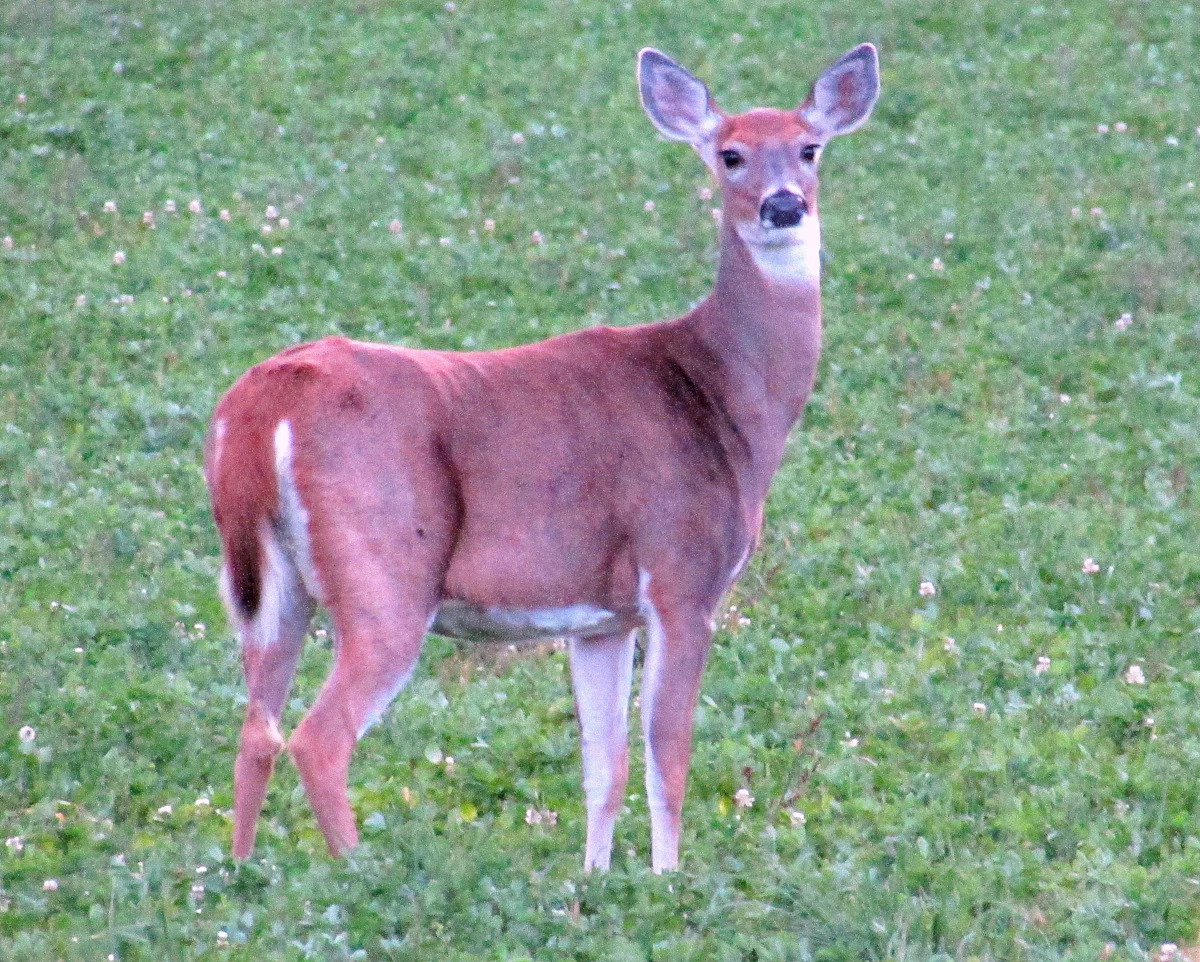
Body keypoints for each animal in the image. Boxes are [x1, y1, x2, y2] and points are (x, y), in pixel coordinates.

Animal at [204, 43, 879, 874]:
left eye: (810, 148)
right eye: (730, 155)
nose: (784, 207)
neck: (724, 397)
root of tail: (265, 400)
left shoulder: (600, 615)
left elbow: (604, 764)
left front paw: (596, 879)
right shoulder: (681, 576)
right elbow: (667, 755)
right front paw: (668, 879)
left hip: (273, 587)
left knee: (253, 730)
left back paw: (242, 872)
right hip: (386, 569)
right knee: (317, 739)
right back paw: (358, 873)